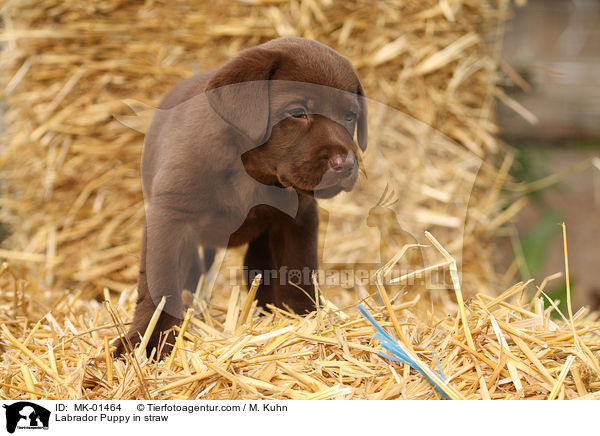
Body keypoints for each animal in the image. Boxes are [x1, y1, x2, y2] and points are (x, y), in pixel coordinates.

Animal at [112, 36, 366, 358]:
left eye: (350, 116)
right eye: (298, 113)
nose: (345, 164)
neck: (249, 169)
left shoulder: (298, 219)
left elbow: (299, 269)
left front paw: (305, 320)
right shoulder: (170, 216)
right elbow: (160, 284)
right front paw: (147, 340)